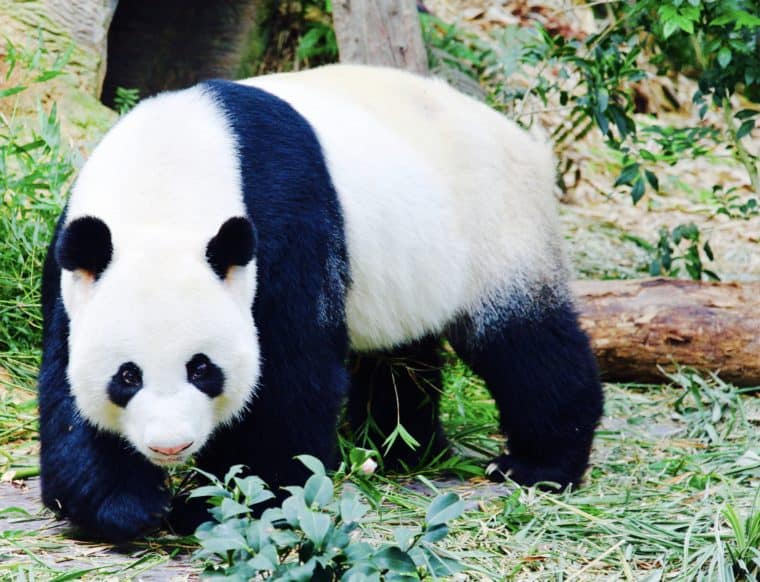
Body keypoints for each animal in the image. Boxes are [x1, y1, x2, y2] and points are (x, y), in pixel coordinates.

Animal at [38, 65, 604, 544]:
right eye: (126, 376)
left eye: (202, 368)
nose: (171, 445)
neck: (167, 179)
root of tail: (522, 141)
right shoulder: (76, 255)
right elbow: (64, 384)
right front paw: (123, 504)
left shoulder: (283, 227)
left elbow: (290, 375)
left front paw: (229, 502)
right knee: (401, 358)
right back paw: (402, 449)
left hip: (498, 231)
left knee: (527, 347)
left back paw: (538, 464)